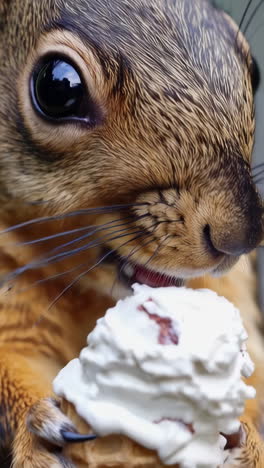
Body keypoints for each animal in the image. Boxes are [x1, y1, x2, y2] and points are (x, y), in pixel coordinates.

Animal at [0, 0, 262, 466]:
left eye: (256, 71)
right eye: (57, 87)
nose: (241, 238)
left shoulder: (234, 290)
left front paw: (245, 439)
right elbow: (14, 359)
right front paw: (39, 424)